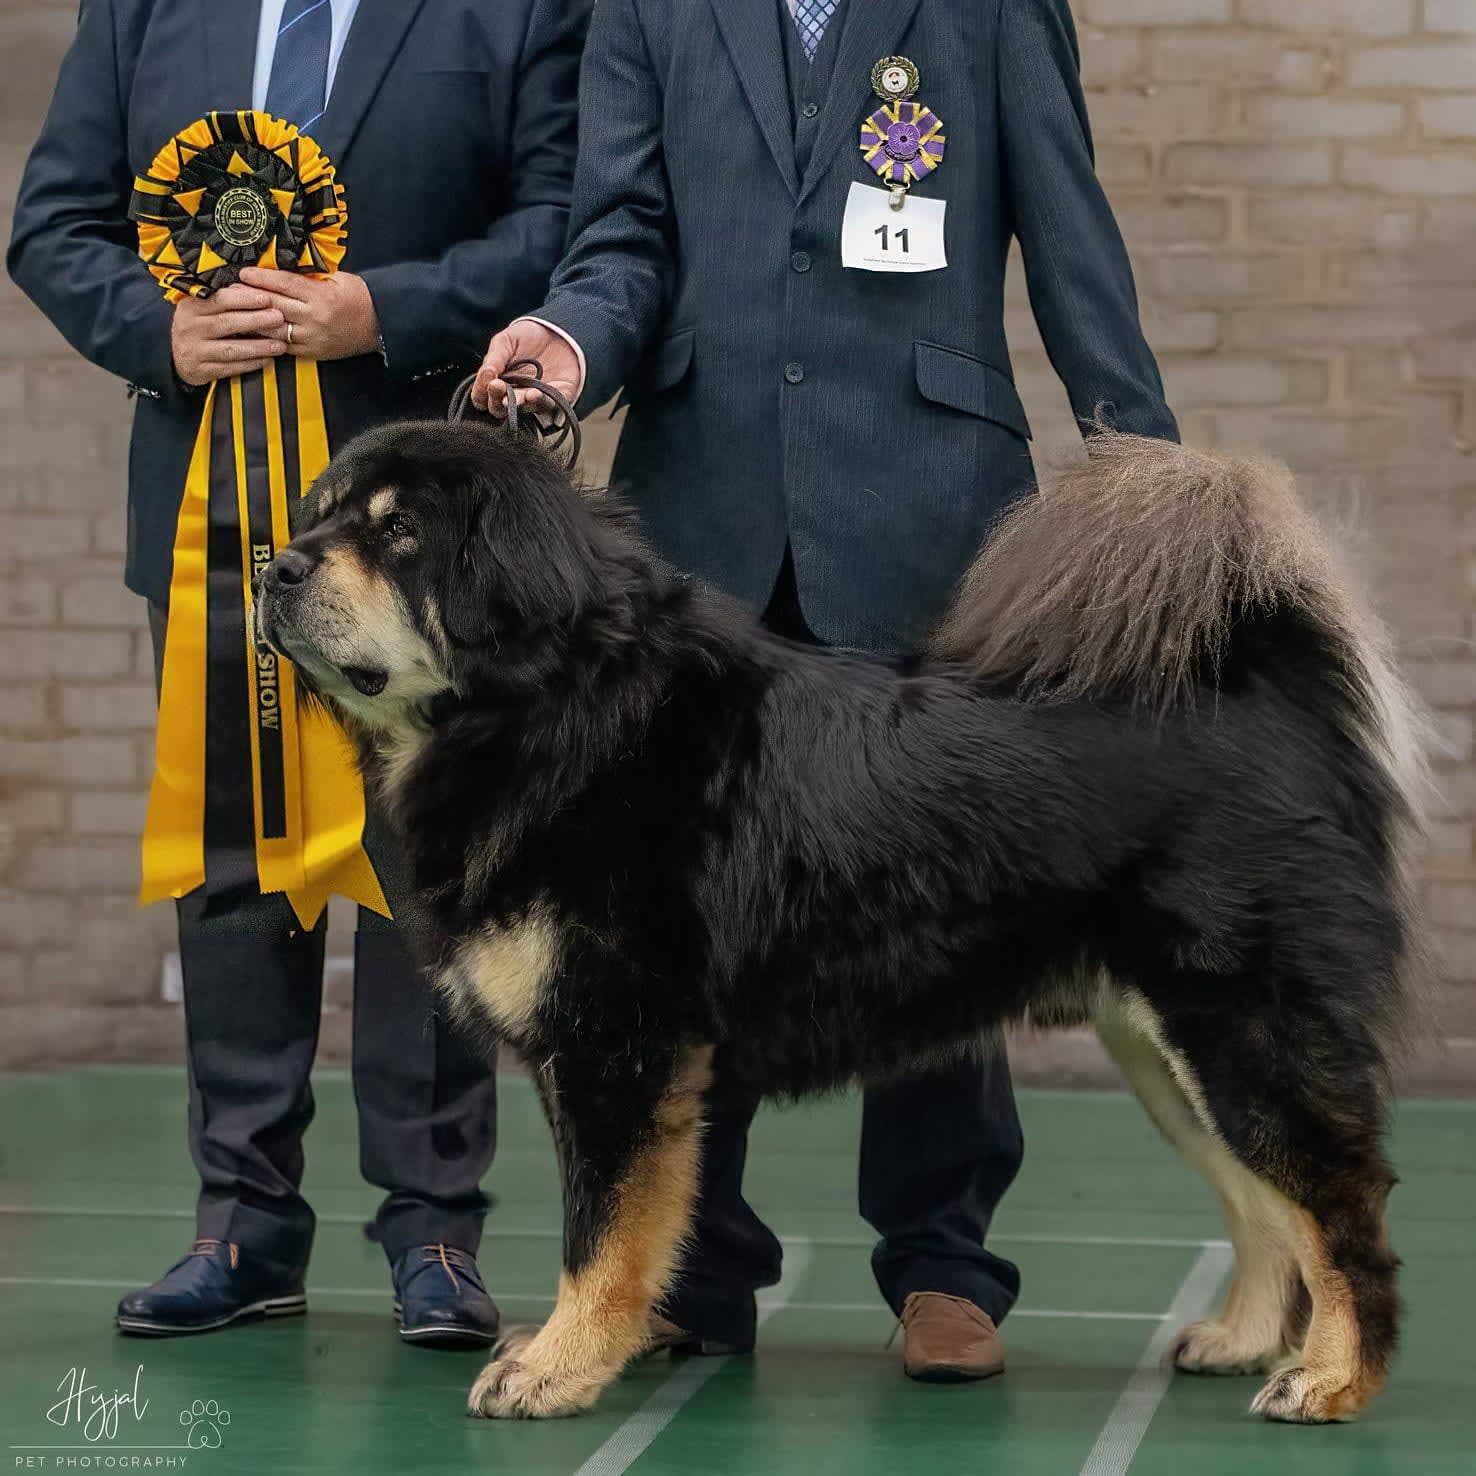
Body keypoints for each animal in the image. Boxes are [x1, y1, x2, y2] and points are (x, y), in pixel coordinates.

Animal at [256, 422, 1428, 1422]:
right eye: (320, 514)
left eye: (400, 533)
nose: (274, 568)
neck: (551, 711)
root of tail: (1269, 695)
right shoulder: (613, 1060)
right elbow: (641, 1227)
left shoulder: (617, 1049)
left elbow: (601, 1234)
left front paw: (556, 1370)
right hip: (1167, 1054)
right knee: (1262, 1200)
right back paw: (1245, 1340)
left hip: (1241, 1031)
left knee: (1341, 1201)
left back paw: (1332, 1380)